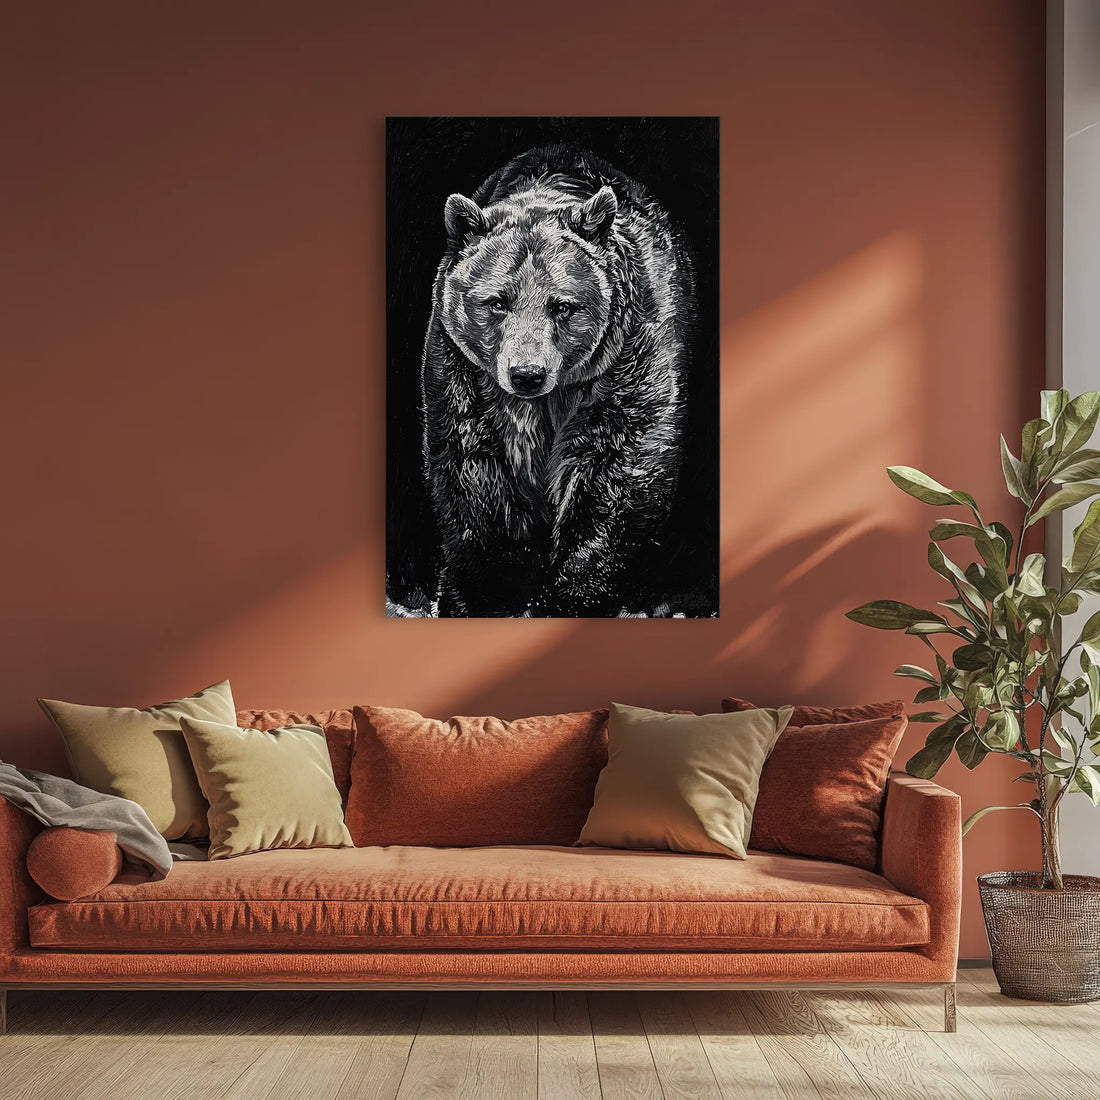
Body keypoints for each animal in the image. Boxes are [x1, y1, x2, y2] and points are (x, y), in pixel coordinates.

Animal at [420, 144, 697, 617]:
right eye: (497, 302)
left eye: (562, 305)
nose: (527, 374)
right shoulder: (463, 370)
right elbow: (474, 471)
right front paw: (487, 592)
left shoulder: (627, 360)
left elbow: (615, 469)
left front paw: (567, 596)